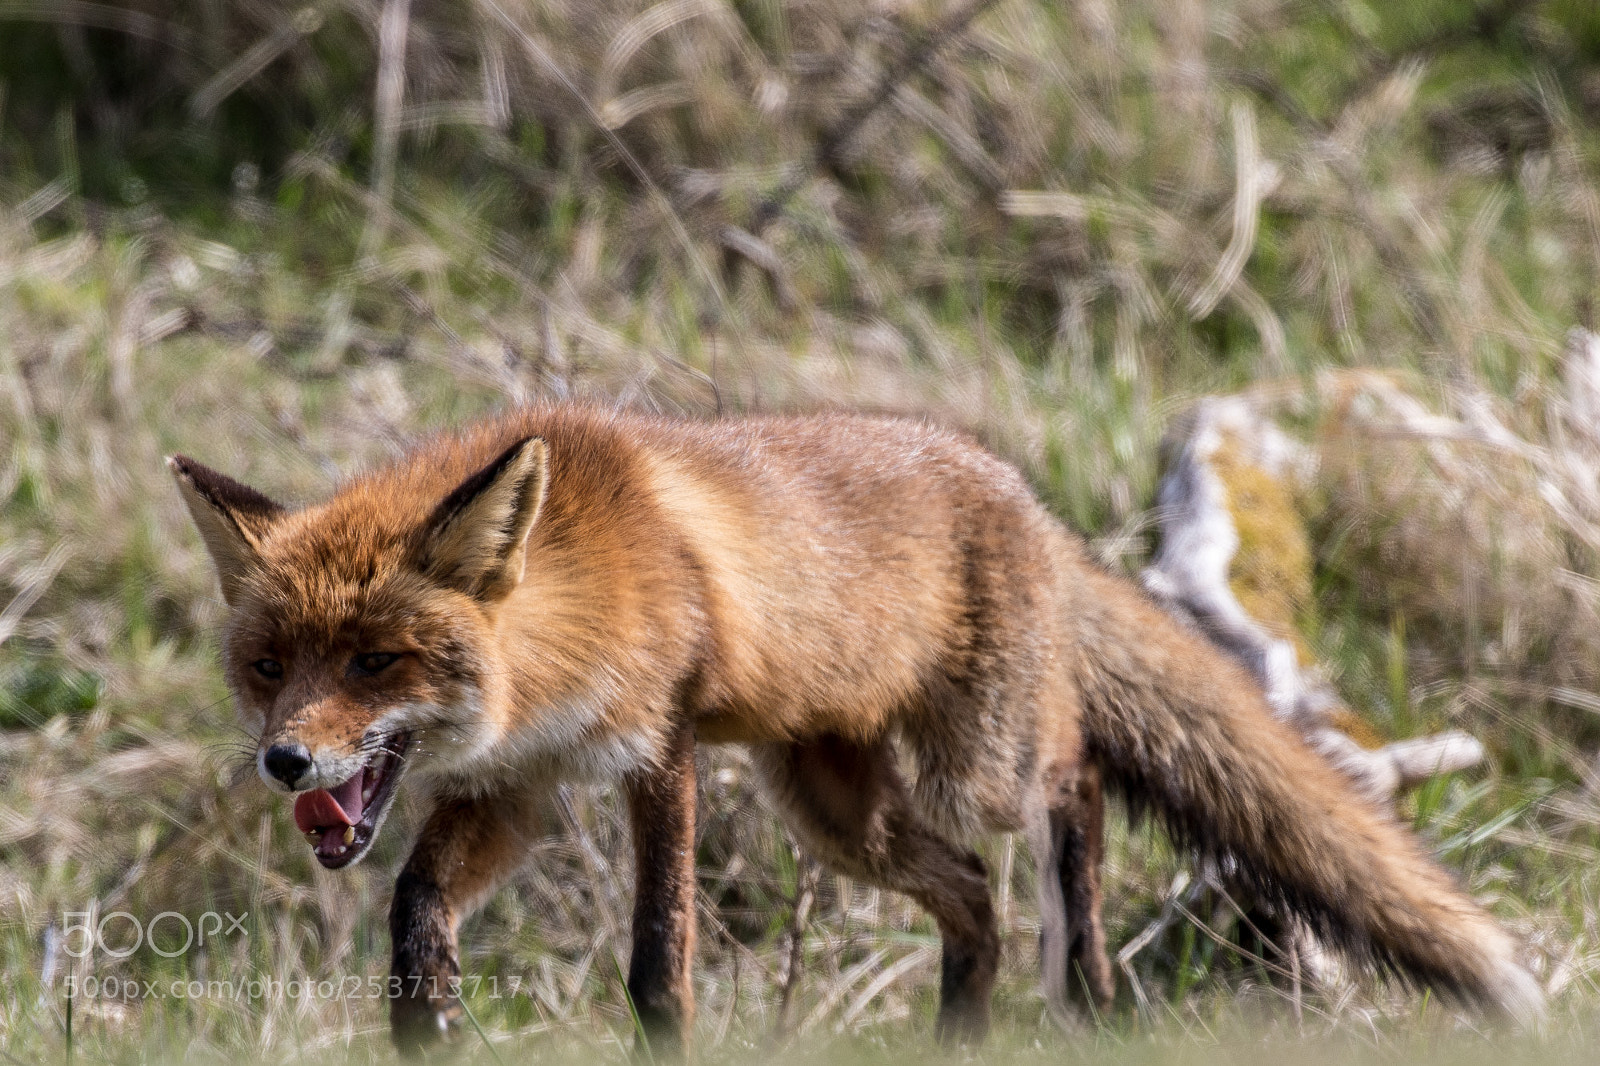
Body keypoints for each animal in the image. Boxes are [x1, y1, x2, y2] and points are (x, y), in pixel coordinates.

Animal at [169, 404, 1543, 1056]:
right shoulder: (518, 787)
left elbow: (659, 968)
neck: (572, 608)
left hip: (974, 764)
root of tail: (1027, 502)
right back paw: (960, 1039)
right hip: (835, 813)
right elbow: (414, 902)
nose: (285, 760)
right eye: (270, 667)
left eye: (376, 660)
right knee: (977, 901)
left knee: (1074, 778)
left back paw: (1090, 975)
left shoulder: (659, 753)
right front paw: (427, 1018)